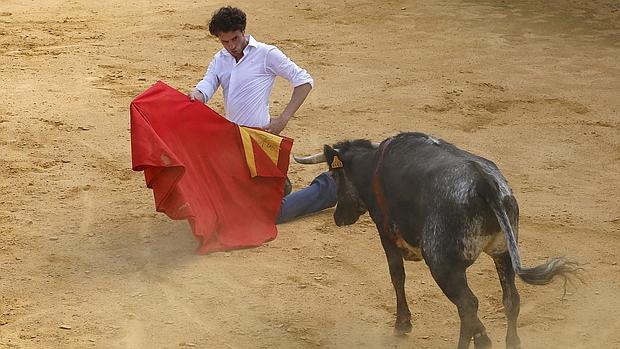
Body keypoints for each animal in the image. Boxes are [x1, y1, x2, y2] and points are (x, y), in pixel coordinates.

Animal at [294, 132, 580, 348]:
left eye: (335, 176)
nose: (338, 218)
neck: (372, 164)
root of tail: (484, 183)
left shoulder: (385, 232)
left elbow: (396, 275)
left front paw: (402, 324)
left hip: (443, 266)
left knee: (468, 305)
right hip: (503, 253)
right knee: (510, 300)